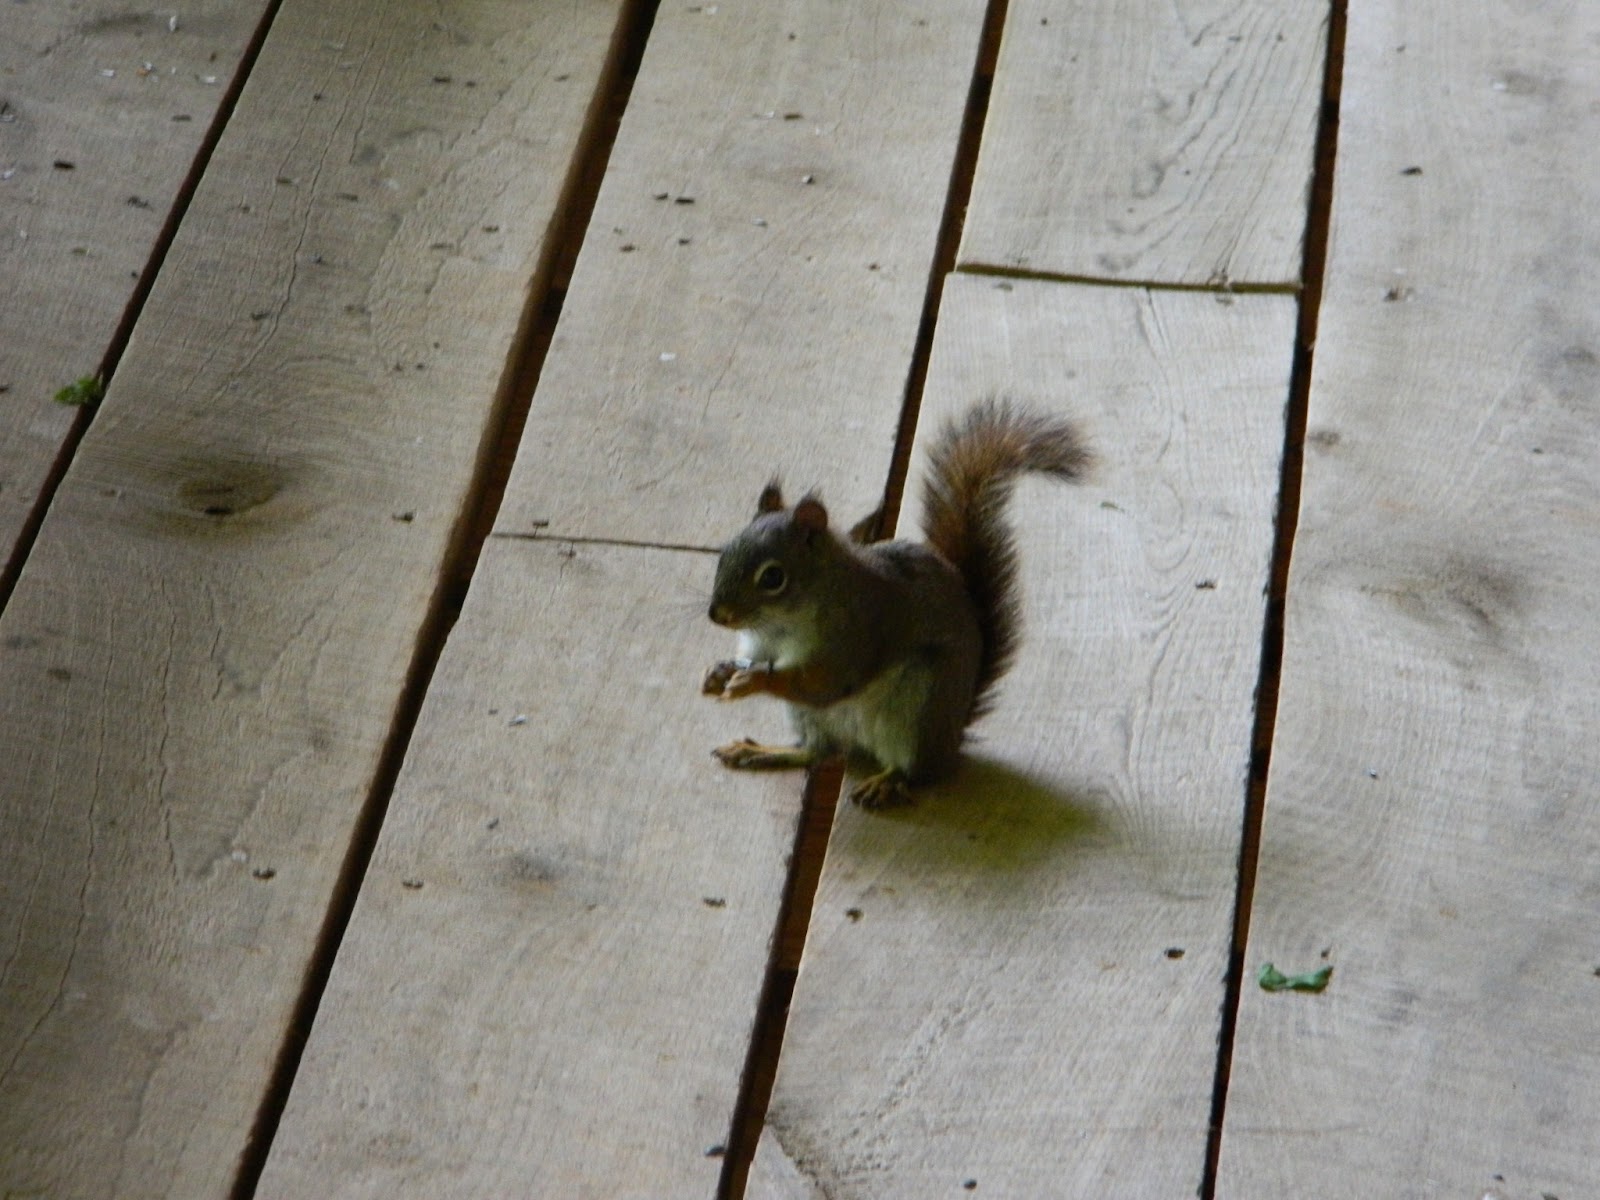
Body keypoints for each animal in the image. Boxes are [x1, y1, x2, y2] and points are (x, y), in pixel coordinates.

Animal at [701, 397, 1090, 809]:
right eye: (724, 553)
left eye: (773, 577)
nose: (717, 615)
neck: (779, 623)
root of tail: (951, 737)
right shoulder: (761, 644)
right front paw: (721, 671)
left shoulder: (853, 637)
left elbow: (822, 683)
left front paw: (755, 679)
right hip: (812, 717)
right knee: (819, 751)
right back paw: (759, 751)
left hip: (917, 706)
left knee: (913, 770)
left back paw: (887, 781)